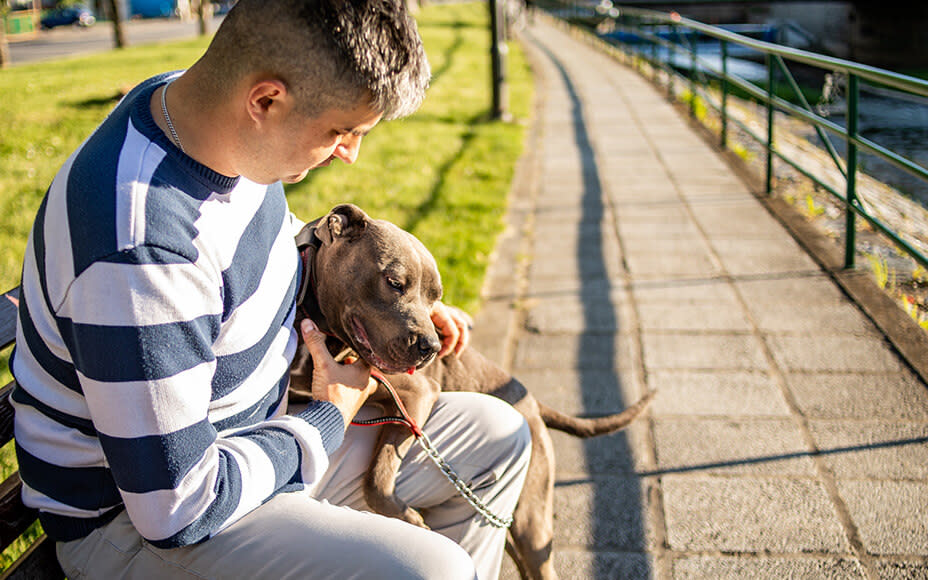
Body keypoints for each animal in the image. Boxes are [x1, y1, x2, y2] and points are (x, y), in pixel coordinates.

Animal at [290, 204, 652, 580]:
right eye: (394, 282)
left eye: (435, 297)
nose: (431, 346)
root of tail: (531, 401)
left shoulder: (415, 397)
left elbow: (377, 476)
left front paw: (409, 520)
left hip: (531, 520)